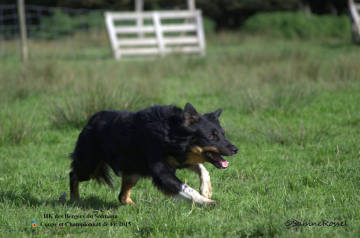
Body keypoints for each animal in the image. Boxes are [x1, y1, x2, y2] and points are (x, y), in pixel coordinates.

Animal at [69, 103, 238, 205]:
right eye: (211, 137)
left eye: (223, 134)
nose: (235, 149)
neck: (171, 133)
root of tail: (91, 120)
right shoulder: (161, 169)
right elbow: (186, 188)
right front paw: (207, 202)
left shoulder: (181, 157)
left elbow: (203, 169)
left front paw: (206, 190)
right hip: (90, 165)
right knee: (73, 174)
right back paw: (75, 199)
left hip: (133, 170)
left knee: (122, 196)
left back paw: (132, 205)